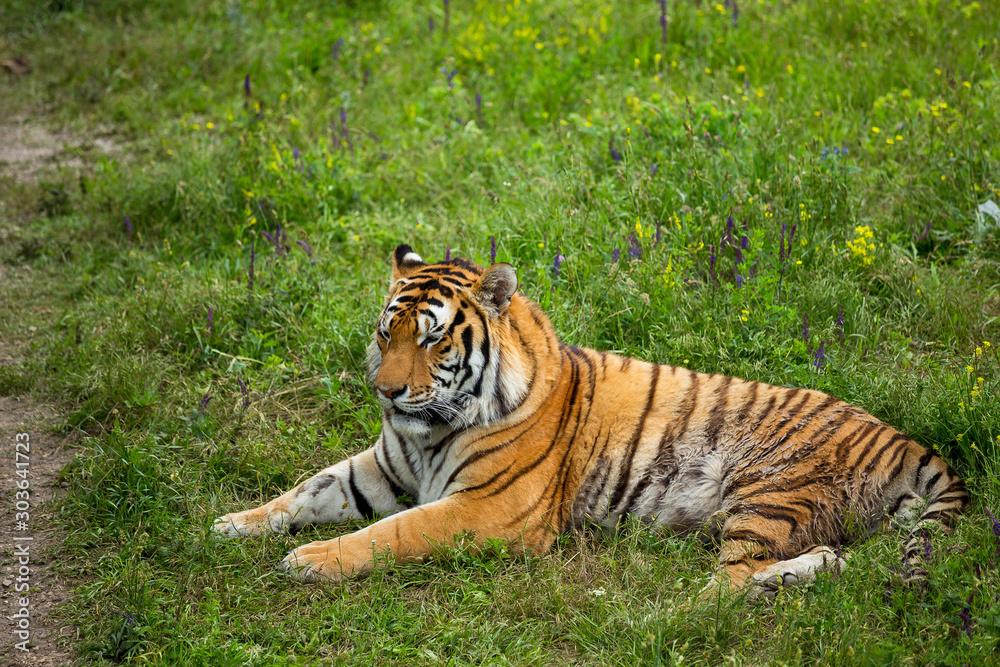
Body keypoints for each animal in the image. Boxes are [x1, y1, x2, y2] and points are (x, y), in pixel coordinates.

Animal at [213, 244, 968, 600]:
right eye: (385, 332)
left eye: (431, 339)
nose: (386, 391)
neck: (428, 430)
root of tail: (905, 439)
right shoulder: (379, 466)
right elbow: (306, 489)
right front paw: (233, 524)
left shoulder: (490, 509)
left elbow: (392, 532)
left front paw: (310, 560)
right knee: (833, 559)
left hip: (769, 490)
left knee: (725, 585)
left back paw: (656, 601)